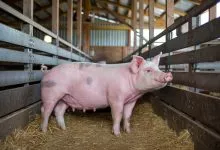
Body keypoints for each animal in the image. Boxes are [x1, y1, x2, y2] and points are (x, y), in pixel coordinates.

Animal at [40, 52, 173, 136]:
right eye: (148, 70)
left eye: (159, 68)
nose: (168, 74)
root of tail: (47, 72)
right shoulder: (115, 97)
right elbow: (117, 115)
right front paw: (117, 134)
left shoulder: (131, 101)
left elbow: (127, 115)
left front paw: (128, 131)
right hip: (50, 94)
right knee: (45, 110)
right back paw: (44, 131)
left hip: (65, 97)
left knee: (58, 111)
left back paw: (64, 128)